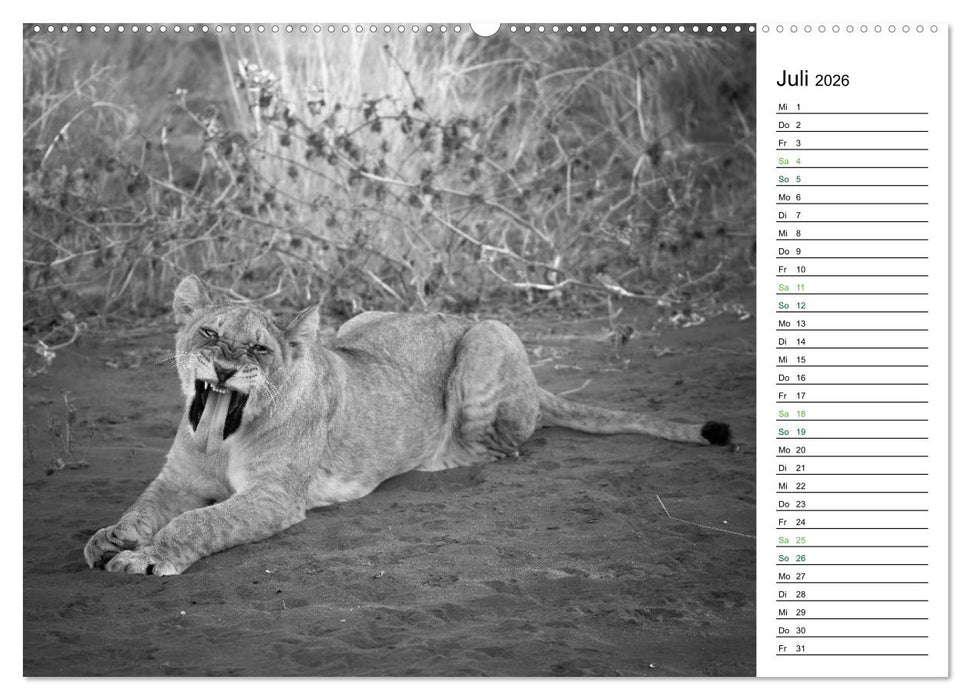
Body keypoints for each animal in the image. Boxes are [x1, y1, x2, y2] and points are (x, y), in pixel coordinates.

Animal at [84, 275, 731, 575]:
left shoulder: (274, 497)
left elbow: (201, 521)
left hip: (486, 335)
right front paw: (111, 538)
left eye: (260, 349)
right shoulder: (177, 478)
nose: (222, 368)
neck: (220, 440)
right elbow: (144, 507)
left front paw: (145, 557)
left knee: (503, 446)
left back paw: (441, 457)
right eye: (209, 333)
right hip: (359, 322)